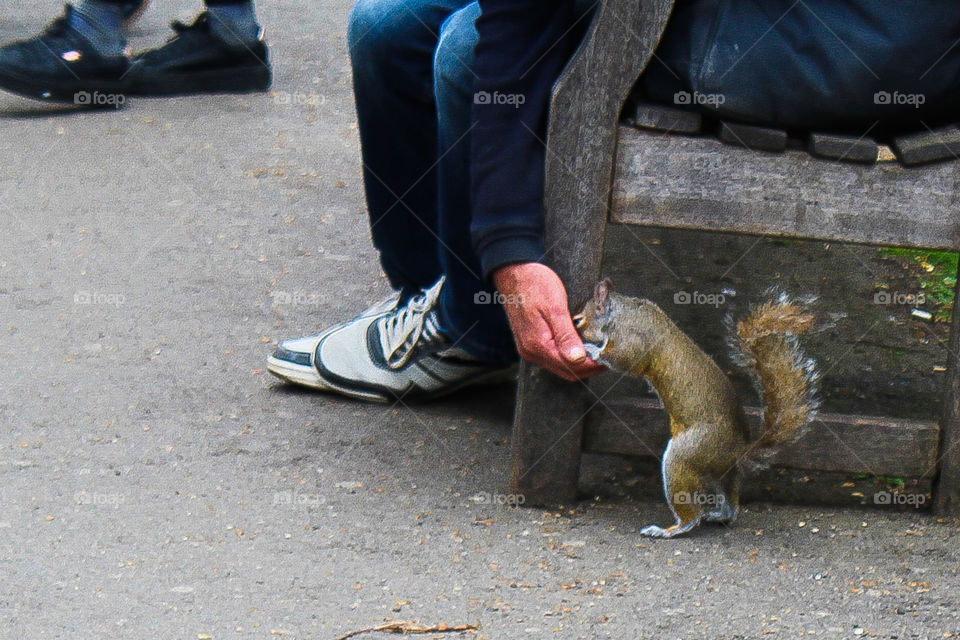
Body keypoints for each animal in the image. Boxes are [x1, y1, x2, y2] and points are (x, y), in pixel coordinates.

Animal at [572, 278, 820, 536]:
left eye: (579, 320)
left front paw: (592, 349)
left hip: (688, 454)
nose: (576, 330)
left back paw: (670, 529)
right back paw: (719, 515)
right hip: (718, 472)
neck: (622, 312)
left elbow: (624, 359)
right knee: (730, 504)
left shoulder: (631, 337)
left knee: (691, 515)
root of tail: (737, 452)